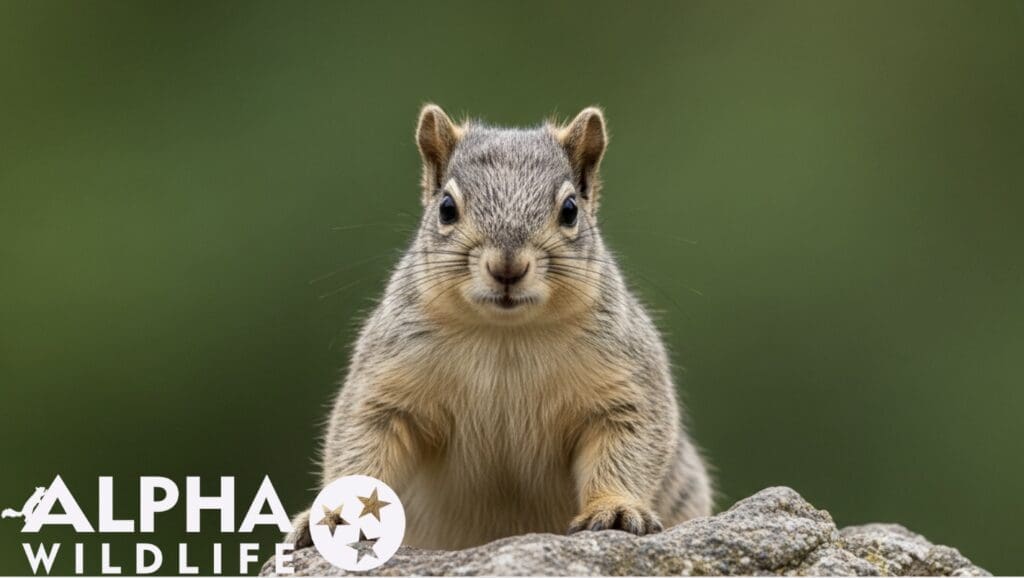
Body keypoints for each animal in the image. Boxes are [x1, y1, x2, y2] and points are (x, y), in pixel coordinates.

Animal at [288, 105, 712, 550]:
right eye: (446, 207)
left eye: (570, 210)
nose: (507, 267)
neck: (504, 335)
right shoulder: (389, 378)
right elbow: (362, 439)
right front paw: (335, 516)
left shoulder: (624, 379)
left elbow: (630, 441)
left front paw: (614, 508)